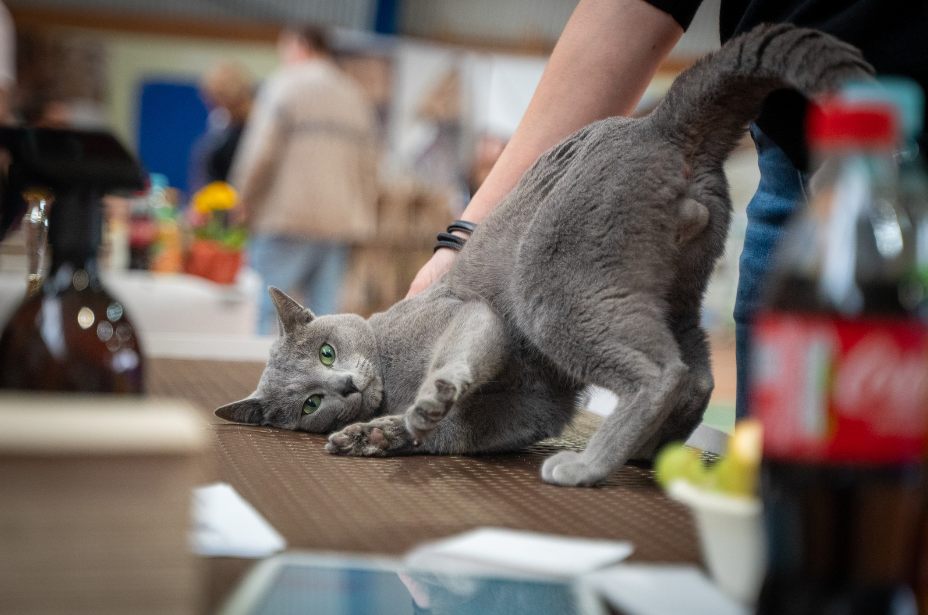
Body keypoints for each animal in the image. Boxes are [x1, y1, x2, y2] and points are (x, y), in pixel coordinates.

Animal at [216, 22, 872, 486]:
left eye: (326, 353)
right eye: (309, 403)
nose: (347, 387)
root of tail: (654, 125)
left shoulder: (469, 317)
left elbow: (461, 352)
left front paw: (424, 400)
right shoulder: (519, 414)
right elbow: (459, 429)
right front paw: (375, 435)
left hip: (553, 287)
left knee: (660, 372)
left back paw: (588, 465)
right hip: (668, 288)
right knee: (698, 374)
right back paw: (650, 451)